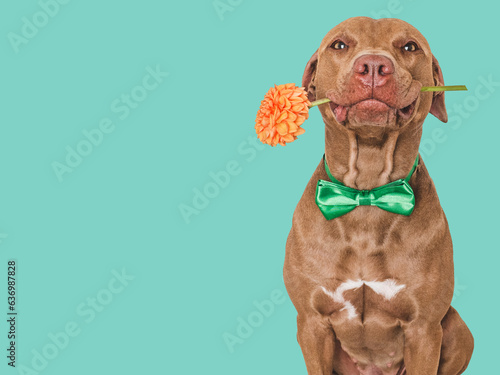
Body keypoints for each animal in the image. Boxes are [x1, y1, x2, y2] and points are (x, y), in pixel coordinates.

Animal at [284, 17, 474, 375]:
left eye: (410, 46)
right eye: (340, 45)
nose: (374, 65)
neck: (367, 193)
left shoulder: (425, 329)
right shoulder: (312, 324)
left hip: (457, 328)